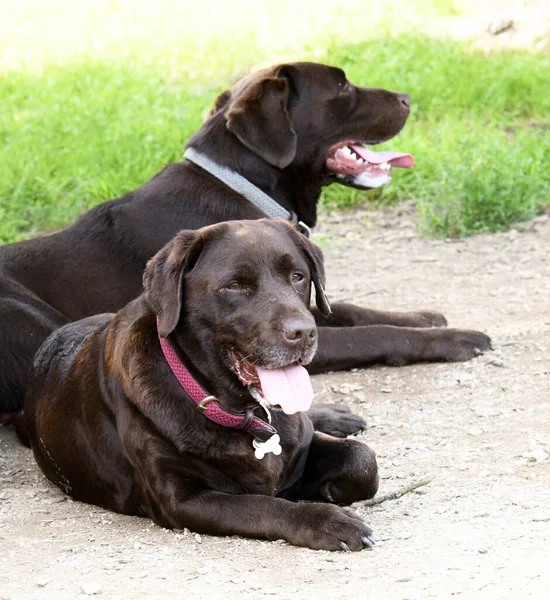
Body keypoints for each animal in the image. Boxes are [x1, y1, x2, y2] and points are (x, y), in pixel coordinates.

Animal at [0, 59, 494, 418]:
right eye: (341, 87)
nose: (407, 98)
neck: (241, 184)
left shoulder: (302, 303)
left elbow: (355, 309)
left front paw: (425, 317)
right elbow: (375, 334)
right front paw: (455, 339)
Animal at [24, 218, 380, 552]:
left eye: (297, 277)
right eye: (235, 286)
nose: (304, 332)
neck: (241, 412)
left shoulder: (301, 444)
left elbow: (363, 460)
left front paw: (330, 486)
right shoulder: (181, 499)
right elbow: (265, 505)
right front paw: (326, 520)